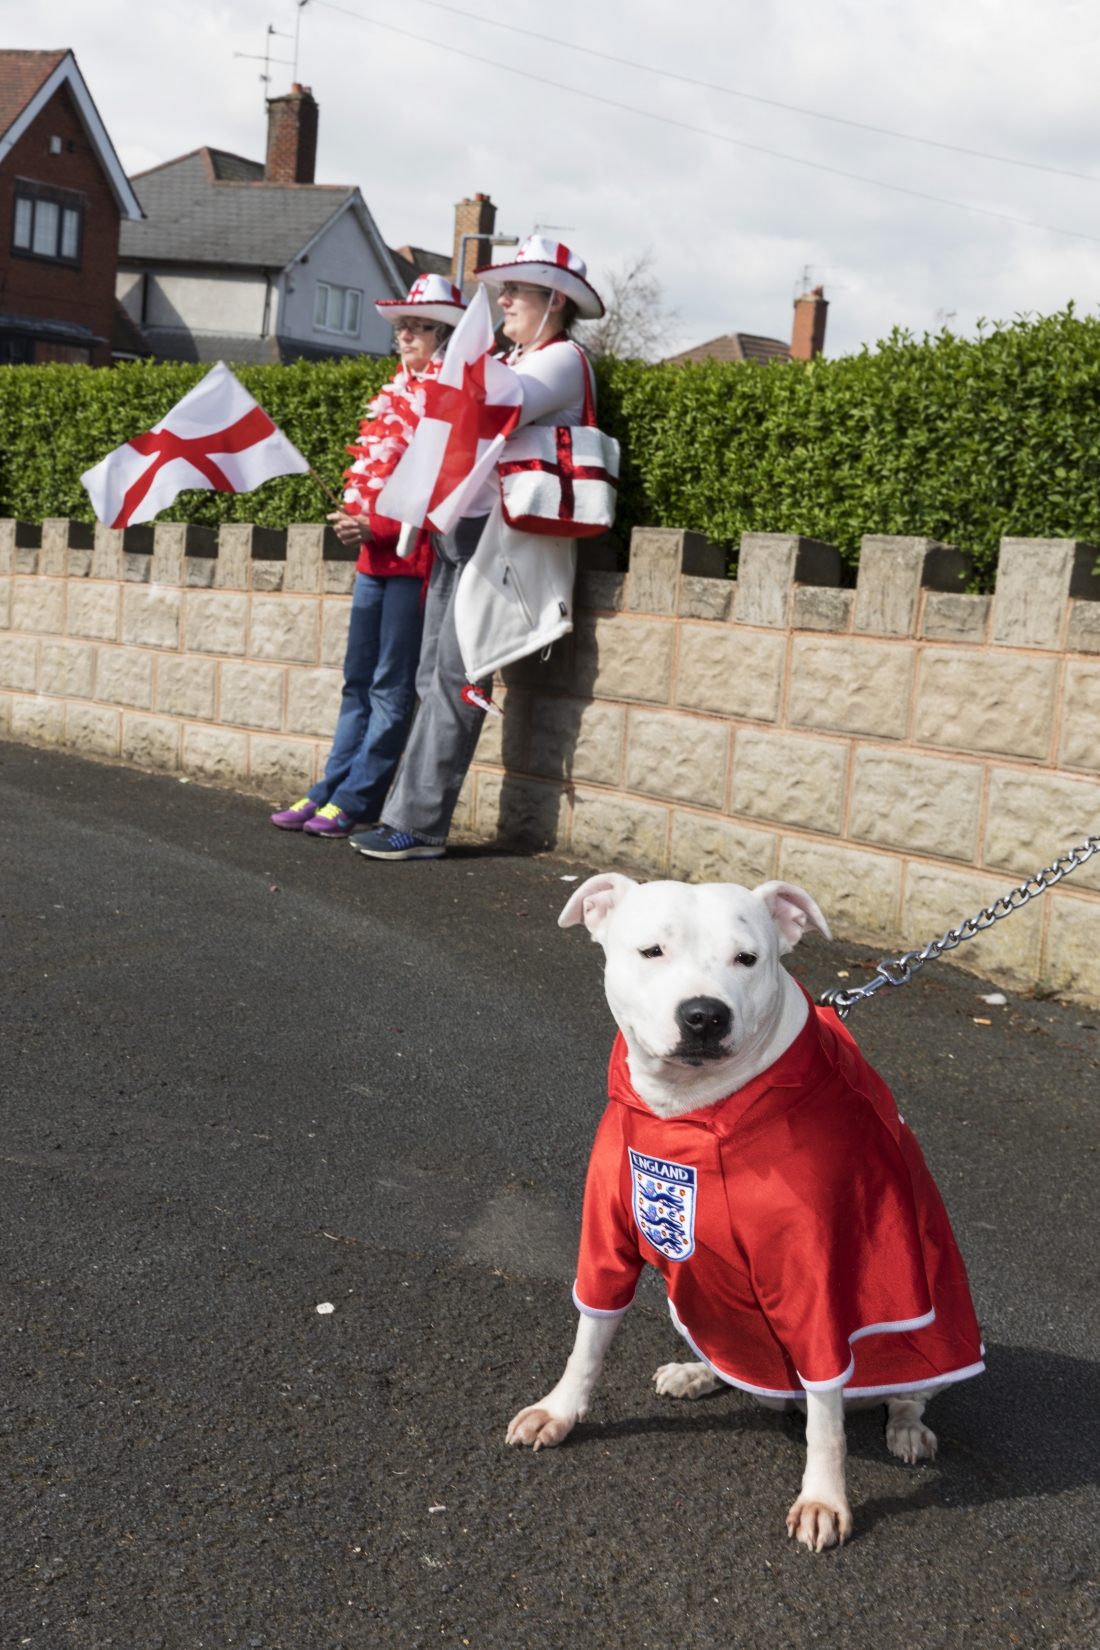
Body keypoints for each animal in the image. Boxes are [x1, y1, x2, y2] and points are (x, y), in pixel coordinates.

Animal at [511, 877, 982, 1544]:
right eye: (652, 951)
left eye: (748, 959)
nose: (705, 1014)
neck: (693, 1111)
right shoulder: (606, 1240)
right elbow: (589, 1340)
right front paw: (559, 1411)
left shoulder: (820, 1283)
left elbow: (826, 1421)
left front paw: (823, 1499)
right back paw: (696, 1372)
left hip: (935, 1342)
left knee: (905, 1396)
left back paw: (906, 1426)